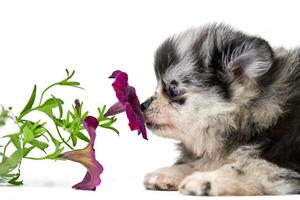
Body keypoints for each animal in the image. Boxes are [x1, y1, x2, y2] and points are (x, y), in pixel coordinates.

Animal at [142, 23, 300, 195]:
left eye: (173, 90)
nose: (142, 105)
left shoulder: (285, 159)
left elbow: (248, 167)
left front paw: (205, 180)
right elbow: (198, 163)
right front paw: (169, 173)